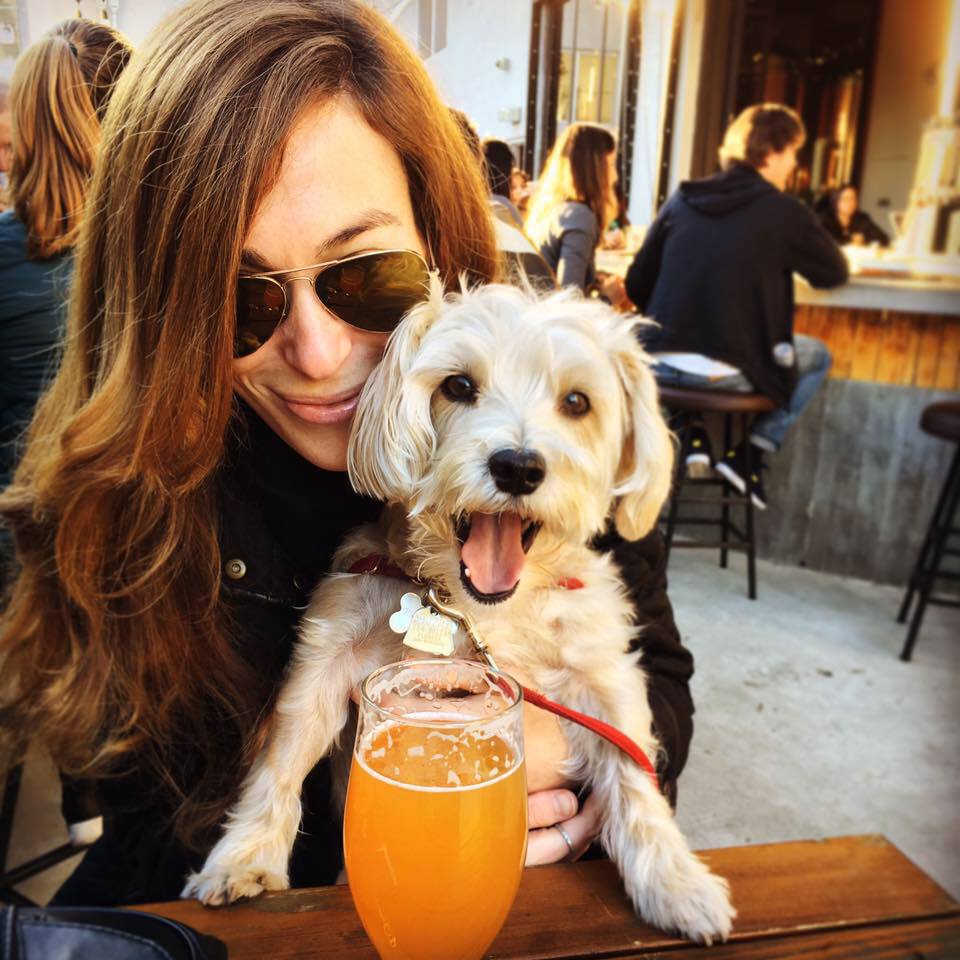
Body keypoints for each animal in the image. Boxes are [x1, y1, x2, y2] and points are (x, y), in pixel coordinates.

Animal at [183, 281, 736, 944]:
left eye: (577, 401)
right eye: (458, 386)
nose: (517, 466)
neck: (472, 608)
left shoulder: (602, 676)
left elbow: (635, 776)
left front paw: (677, 881)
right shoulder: (328, 655)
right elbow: (282, 761)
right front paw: (245, 856)